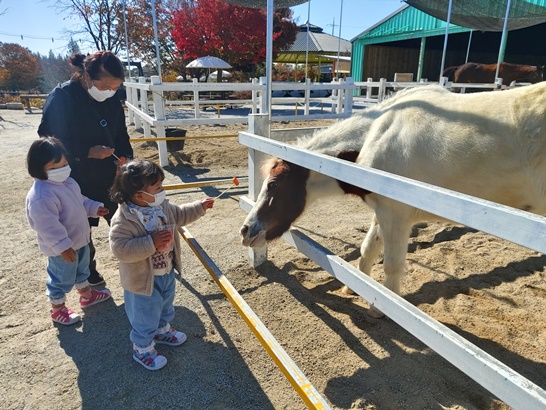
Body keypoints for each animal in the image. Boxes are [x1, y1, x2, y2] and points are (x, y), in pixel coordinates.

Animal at [239, 81, 546, 316]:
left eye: (273, 185)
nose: (246, 230)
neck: (378, 136)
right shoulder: (382, 212)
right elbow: (367, 251)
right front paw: (352, 287)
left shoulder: (396, 216)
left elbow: (392, 265)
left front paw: (381, 308)